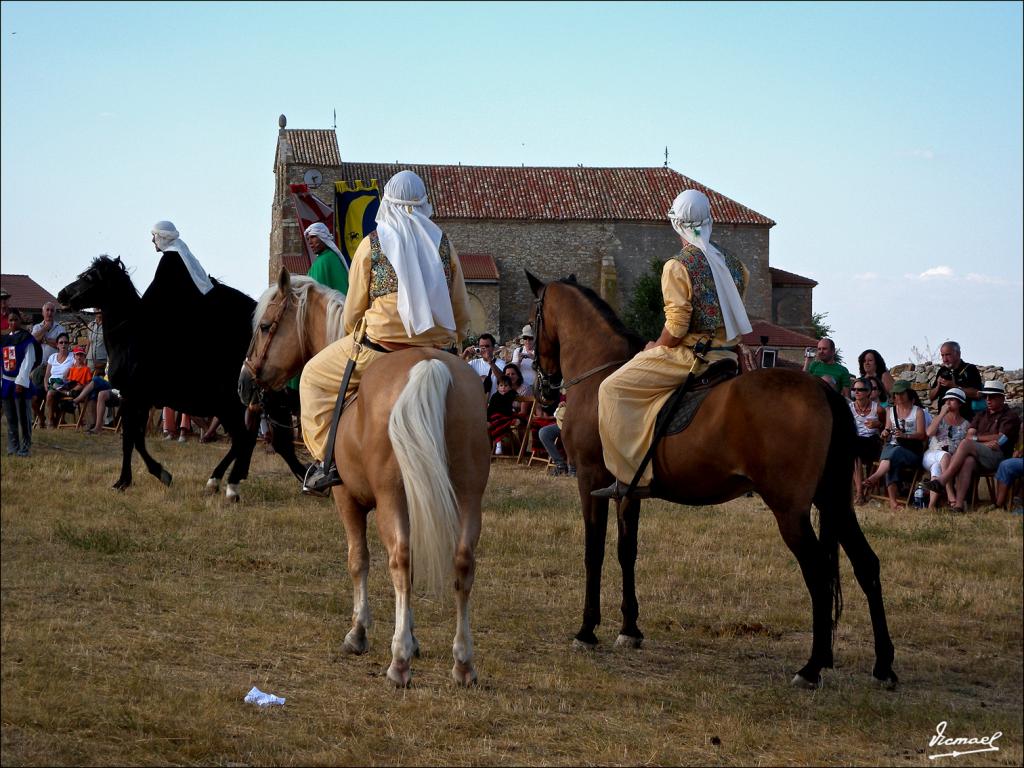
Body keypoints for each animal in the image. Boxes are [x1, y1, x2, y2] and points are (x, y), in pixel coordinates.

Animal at [58, 256, 305, 501]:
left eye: (89, 277)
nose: (62, 295)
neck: (129, 338)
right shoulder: (139, 401)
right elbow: (135, 438)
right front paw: (141, 476)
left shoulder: (133, 398)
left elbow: (131, 439)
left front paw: (136, 478)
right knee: (253, 440)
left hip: (230, 405)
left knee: (247, 438)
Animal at [237, 268, 485, 684]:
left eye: (267, 326)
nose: (244, 383)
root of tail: (429, 365)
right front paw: (413, 637)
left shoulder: (347, 498)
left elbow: (359, 559)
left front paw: (360, 633)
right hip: (469, 496)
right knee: (462, 562)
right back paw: (463, 662)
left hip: (390, 498)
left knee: (399, 558)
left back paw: (398, 662)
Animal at [528, 272, 897, 692]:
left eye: (533, 322)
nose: (543, 389)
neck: (600, 375)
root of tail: (822, 389)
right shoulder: (627, 490)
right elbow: (626, 552)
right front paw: (630, 629)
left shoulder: (590, 480)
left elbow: (594, 553)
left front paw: (587, 630)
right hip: (834, 501)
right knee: (866, 565)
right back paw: (883, 666)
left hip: (791, 510)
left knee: (818, 573)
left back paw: (811, 667)